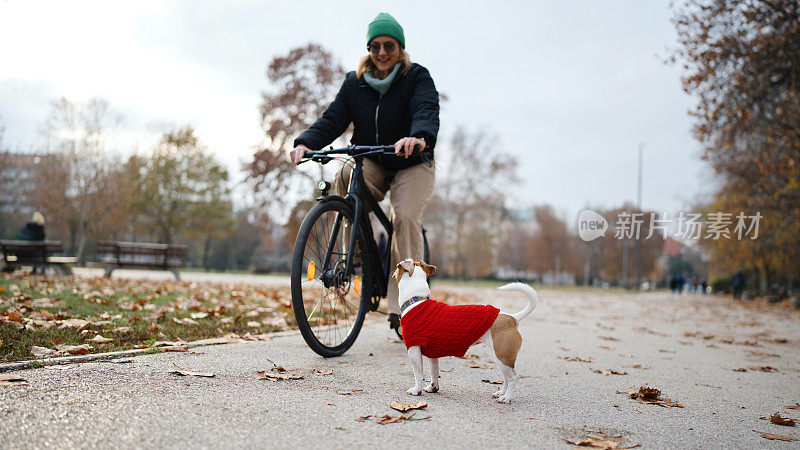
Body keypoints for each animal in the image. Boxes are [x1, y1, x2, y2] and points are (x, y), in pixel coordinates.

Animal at [394, 258, 536, 402]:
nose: (394, 269)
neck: (415, 300)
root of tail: (512, 318)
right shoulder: (433, 355)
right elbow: (434, 372)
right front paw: (433, 388)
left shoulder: (413, 350)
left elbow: (418, 374)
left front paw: (416, 390)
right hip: (502, 358)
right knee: (507, 378)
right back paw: (501, 393)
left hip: (503, 357)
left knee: (513, 377)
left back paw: (506, 398)